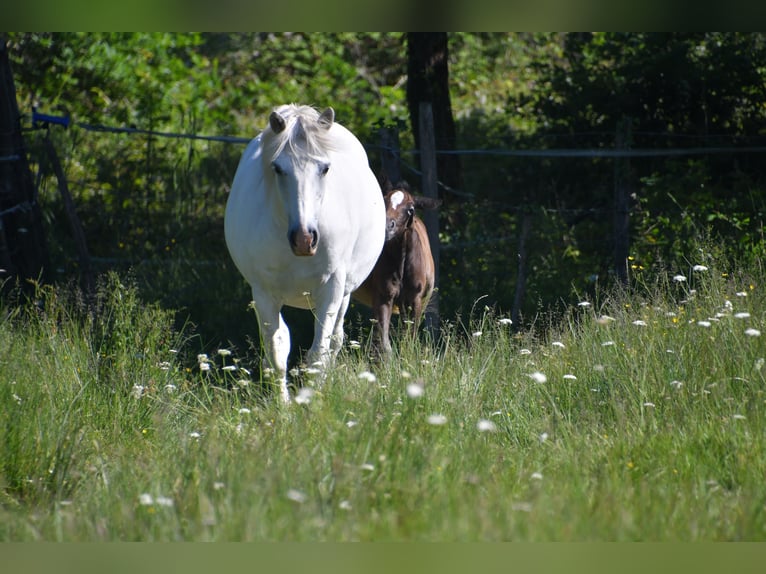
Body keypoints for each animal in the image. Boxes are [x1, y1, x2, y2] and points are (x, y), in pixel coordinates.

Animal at [224, 104, 385, 402]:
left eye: (325, 168)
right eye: (278, 168)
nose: (304, 239)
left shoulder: (331, 289)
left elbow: (319, 354)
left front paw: (314, 403)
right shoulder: (263, 293)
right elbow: (277, 351)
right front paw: (284, 407)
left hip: (344, 293)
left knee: (335, 341)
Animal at [353, 179, 440, 354]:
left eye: (411, 208)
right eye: (384, 201)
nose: (387, 227)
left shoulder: (415, 300)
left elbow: (410, 337)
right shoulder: (383, 296)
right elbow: (384, 342)